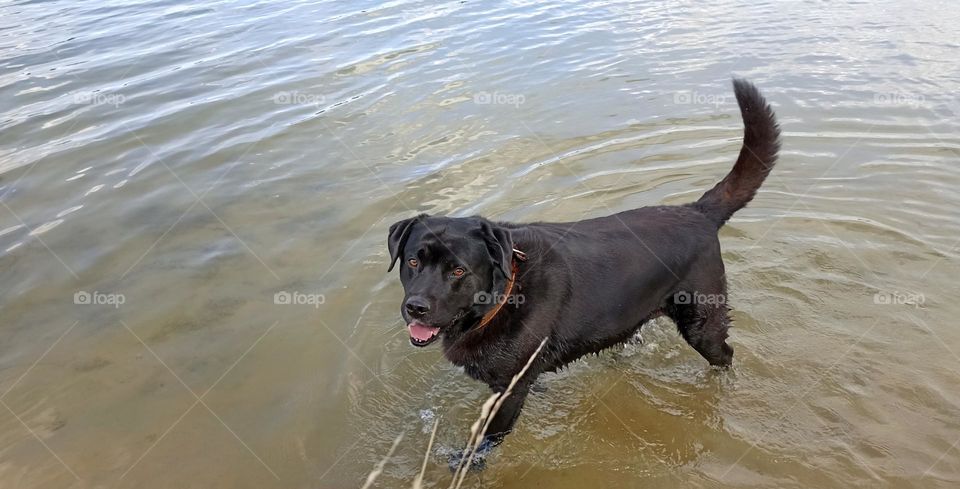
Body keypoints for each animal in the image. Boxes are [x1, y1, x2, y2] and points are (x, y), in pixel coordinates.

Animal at [386, 78, 776, 464]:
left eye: (458, 271)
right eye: (413, 261)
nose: (415, 307)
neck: (504, 295)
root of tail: (697, 212)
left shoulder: (508, 391)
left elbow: (488, 438)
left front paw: (466, 462)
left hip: (703, 323)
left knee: (725, 355)